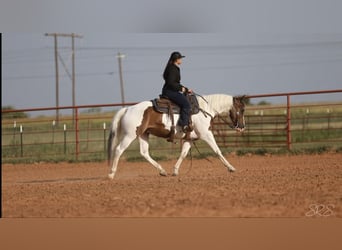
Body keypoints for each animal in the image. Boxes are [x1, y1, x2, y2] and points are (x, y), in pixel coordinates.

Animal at [107, 94, 246, 180]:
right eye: (242, 109)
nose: (242, 126)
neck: (204, 110)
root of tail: (127, 109)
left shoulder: (189, 139)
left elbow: (183, 154)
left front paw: (175, 170)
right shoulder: (206, 134)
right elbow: (217, 150)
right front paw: (231, 167)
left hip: (143, 134)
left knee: (144, 153)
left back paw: (162, 171)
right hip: (130, 135)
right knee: (118, 150)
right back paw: (111, 174)